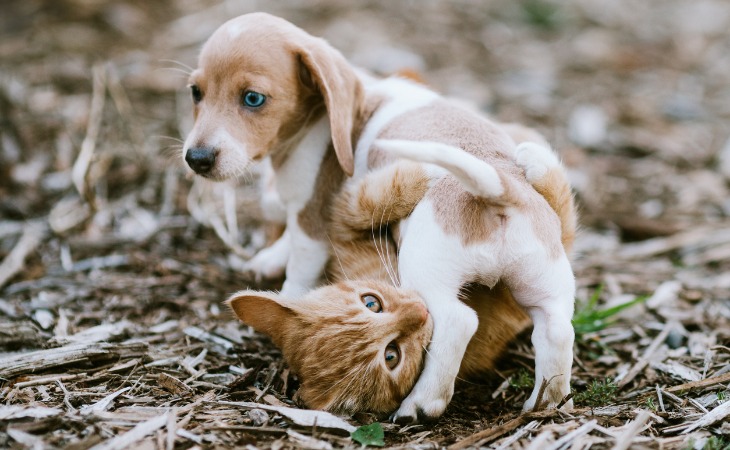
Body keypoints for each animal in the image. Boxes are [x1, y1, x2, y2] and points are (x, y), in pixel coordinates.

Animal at [183, 13, 576, 422]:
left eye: (253, 99)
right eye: (195, 92)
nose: (196, 159)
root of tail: (499, 188)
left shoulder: (312, 219)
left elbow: (298, 265)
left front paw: (288, 303)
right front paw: (268, 262)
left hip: (423, 269)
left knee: (458, 322)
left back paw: (422, 402)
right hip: (544, 280)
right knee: (556, 331)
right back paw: (548, 401)